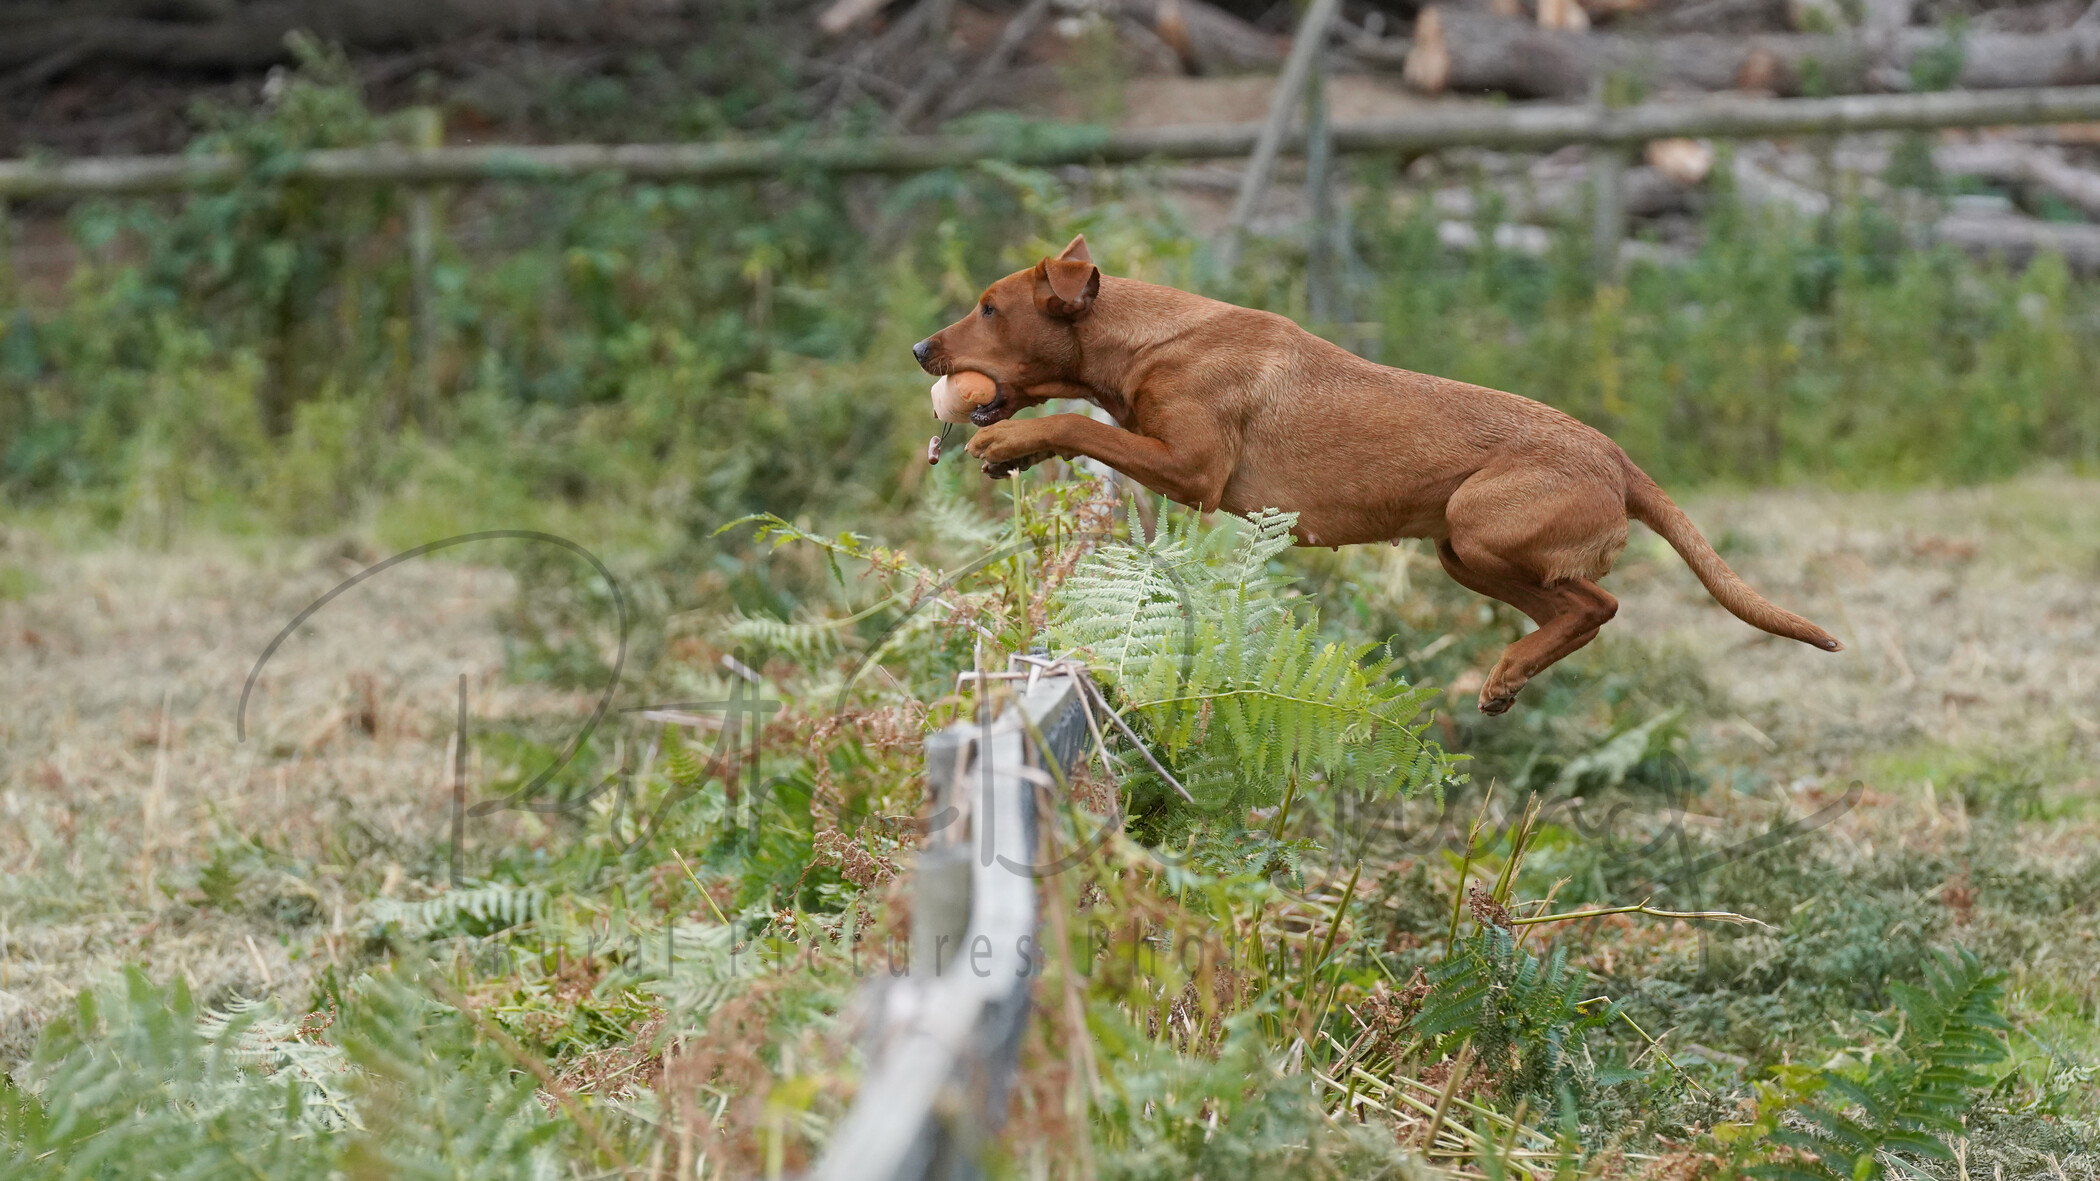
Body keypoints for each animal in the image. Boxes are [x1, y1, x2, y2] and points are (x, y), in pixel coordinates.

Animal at [907, 230, 1839, 706]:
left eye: (989, 307)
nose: (919, 350)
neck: (1151, 335)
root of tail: (1616, 455)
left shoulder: (1195, 471)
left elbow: (1074, 420)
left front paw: (1007, 446)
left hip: (1477, 526)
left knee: (1599, 603)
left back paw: (1504, 674)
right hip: (1459, 551)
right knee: (1578, 611)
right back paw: (1505, 677)